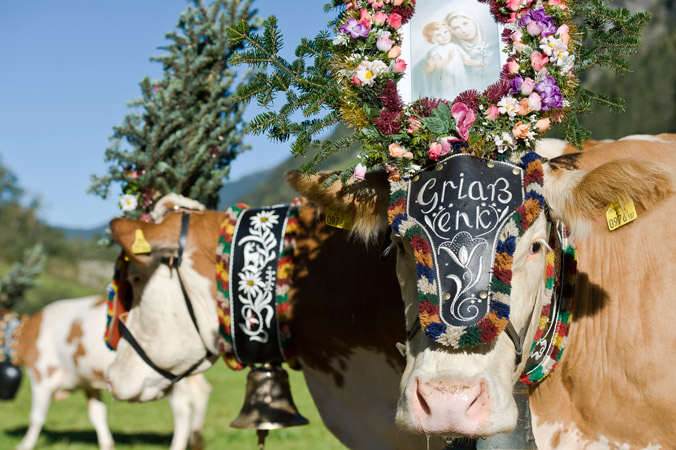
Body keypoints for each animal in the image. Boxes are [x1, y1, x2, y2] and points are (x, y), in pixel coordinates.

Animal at [2, 296, 210, 450]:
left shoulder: (42, 375)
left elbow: (36, 417)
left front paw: (24, 445)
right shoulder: (88, 382)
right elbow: (97, 414)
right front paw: (107, 444)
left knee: (183, 407)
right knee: (201, 392)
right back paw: (197, 441)